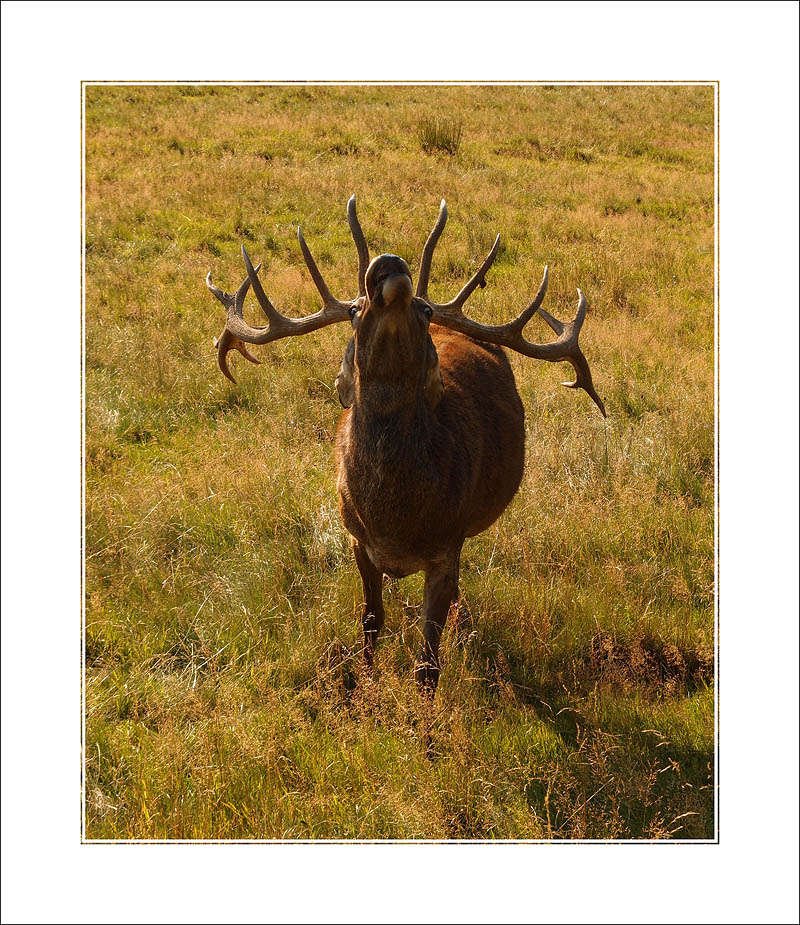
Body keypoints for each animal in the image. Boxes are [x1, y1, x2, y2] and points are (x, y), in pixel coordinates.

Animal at [206, 197, 605, 695]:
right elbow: (371, 620)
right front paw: (364, 686)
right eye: (353, 310)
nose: (390, 264)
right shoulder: (356, 539)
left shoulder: (446, 546)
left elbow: (428, 664)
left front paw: (424, 712)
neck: (395, 522)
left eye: (426, 310)